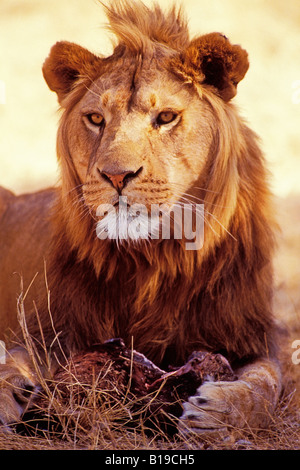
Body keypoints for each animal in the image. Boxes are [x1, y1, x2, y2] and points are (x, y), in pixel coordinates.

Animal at [0, 0, 282, 436]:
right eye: (95, 119)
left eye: (165, 117)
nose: (116, 176)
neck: (155, 257)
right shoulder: (50, 329)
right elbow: (14, 361)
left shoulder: (253, 334)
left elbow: (268, 383)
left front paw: (220, 412)